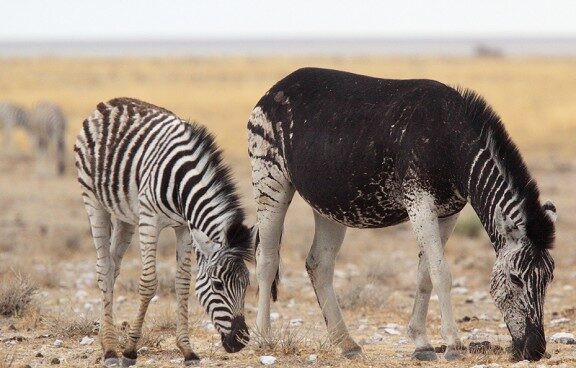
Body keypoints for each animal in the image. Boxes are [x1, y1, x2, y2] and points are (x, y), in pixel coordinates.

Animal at [73, 98, 253, 368]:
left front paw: (187, 350)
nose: (241, 341)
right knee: (103, 268)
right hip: (93, 201)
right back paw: (111, 350)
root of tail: (108, 103)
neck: (181, 184)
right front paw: (130, 350)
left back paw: (106, 341)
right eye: (218, 285)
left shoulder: (184, 227)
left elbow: (183, 283)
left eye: (247, 284)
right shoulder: (150, 221)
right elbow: (148, 283)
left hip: (126, 216)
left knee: (113, 268)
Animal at [249, 68, 560, 362]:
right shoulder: (418, 201)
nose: (535, 350)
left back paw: (347, 344)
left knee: (319, 264)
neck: (452, 143)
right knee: (267, 259)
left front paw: (422, 343)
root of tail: (280, 84)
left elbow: (425, 274)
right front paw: (454, 345)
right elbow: (441, 272)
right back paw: (264, 338)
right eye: (516, 279)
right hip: (270, 180)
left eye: (548, 279)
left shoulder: (448, 211)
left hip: (329, 203)